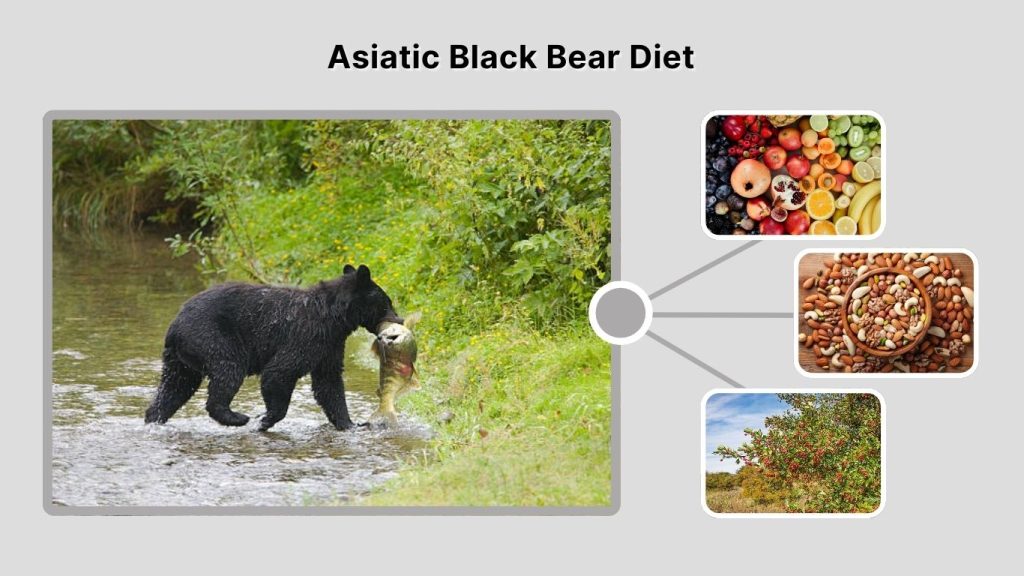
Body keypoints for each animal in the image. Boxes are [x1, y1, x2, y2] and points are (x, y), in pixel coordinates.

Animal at [143, 264, 402, 431]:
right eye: (387, 302)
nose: (399, 319)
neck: (334, 319)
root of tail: (175, 327)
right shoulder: (304, 337)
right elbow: (278, 372)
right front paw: (264, 420)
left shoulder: (329, 346)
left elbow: (329, 384)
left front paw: (350, 424)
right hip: (213, 338)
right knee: (228, 370)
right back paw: (237, 417)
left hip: (180, 360)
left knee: (174, 387)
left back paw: (154, 418)